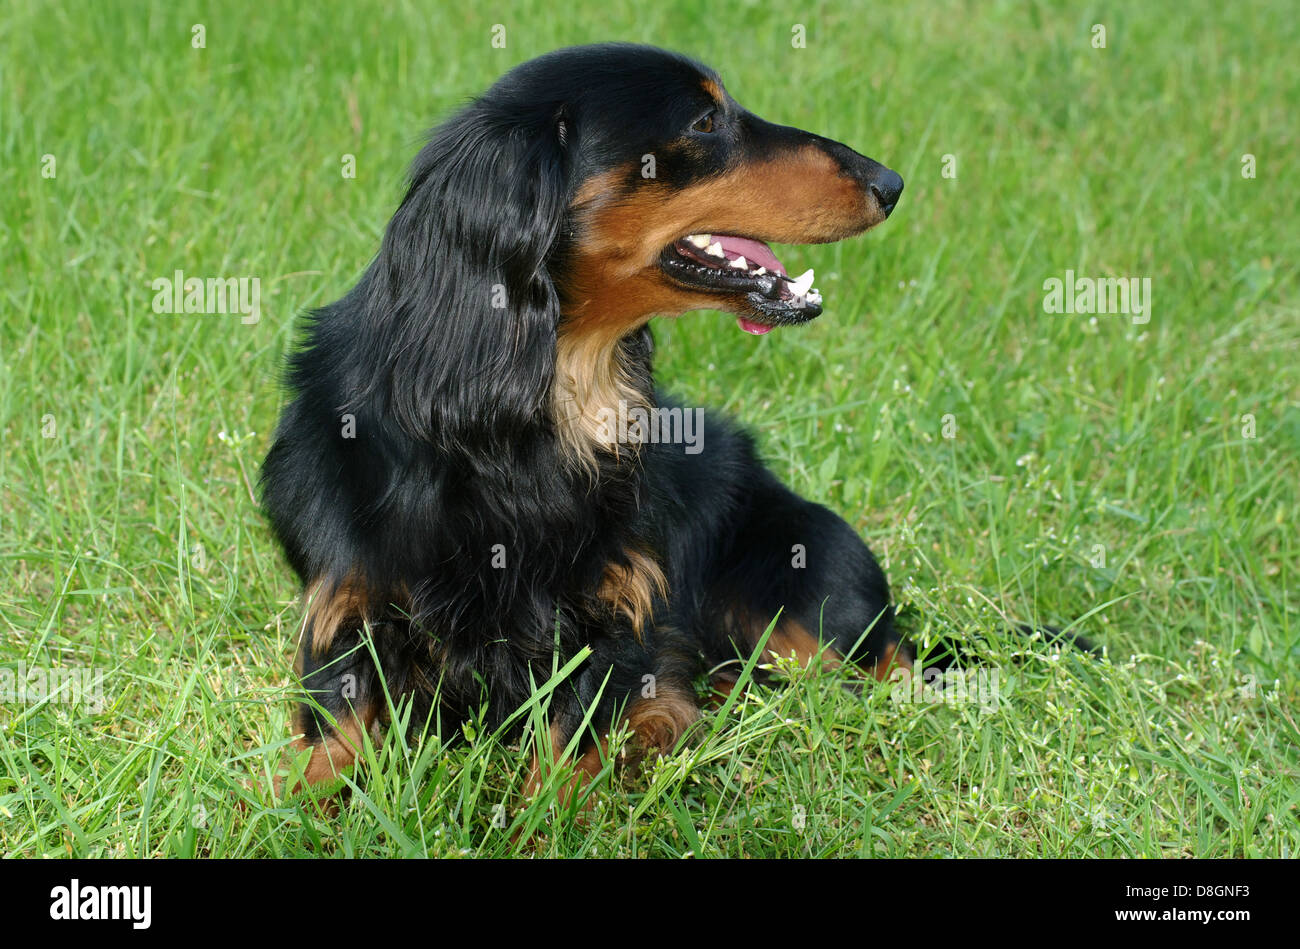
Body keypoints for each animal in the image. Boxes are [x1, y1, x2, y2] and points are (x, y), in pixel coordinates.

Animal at [260, 46, 909, 800]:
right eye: (705, 120)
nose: (892, 183)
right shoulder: (347, 613)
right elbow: (327, 754)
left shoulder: (613, 623)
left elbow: (569, 762)